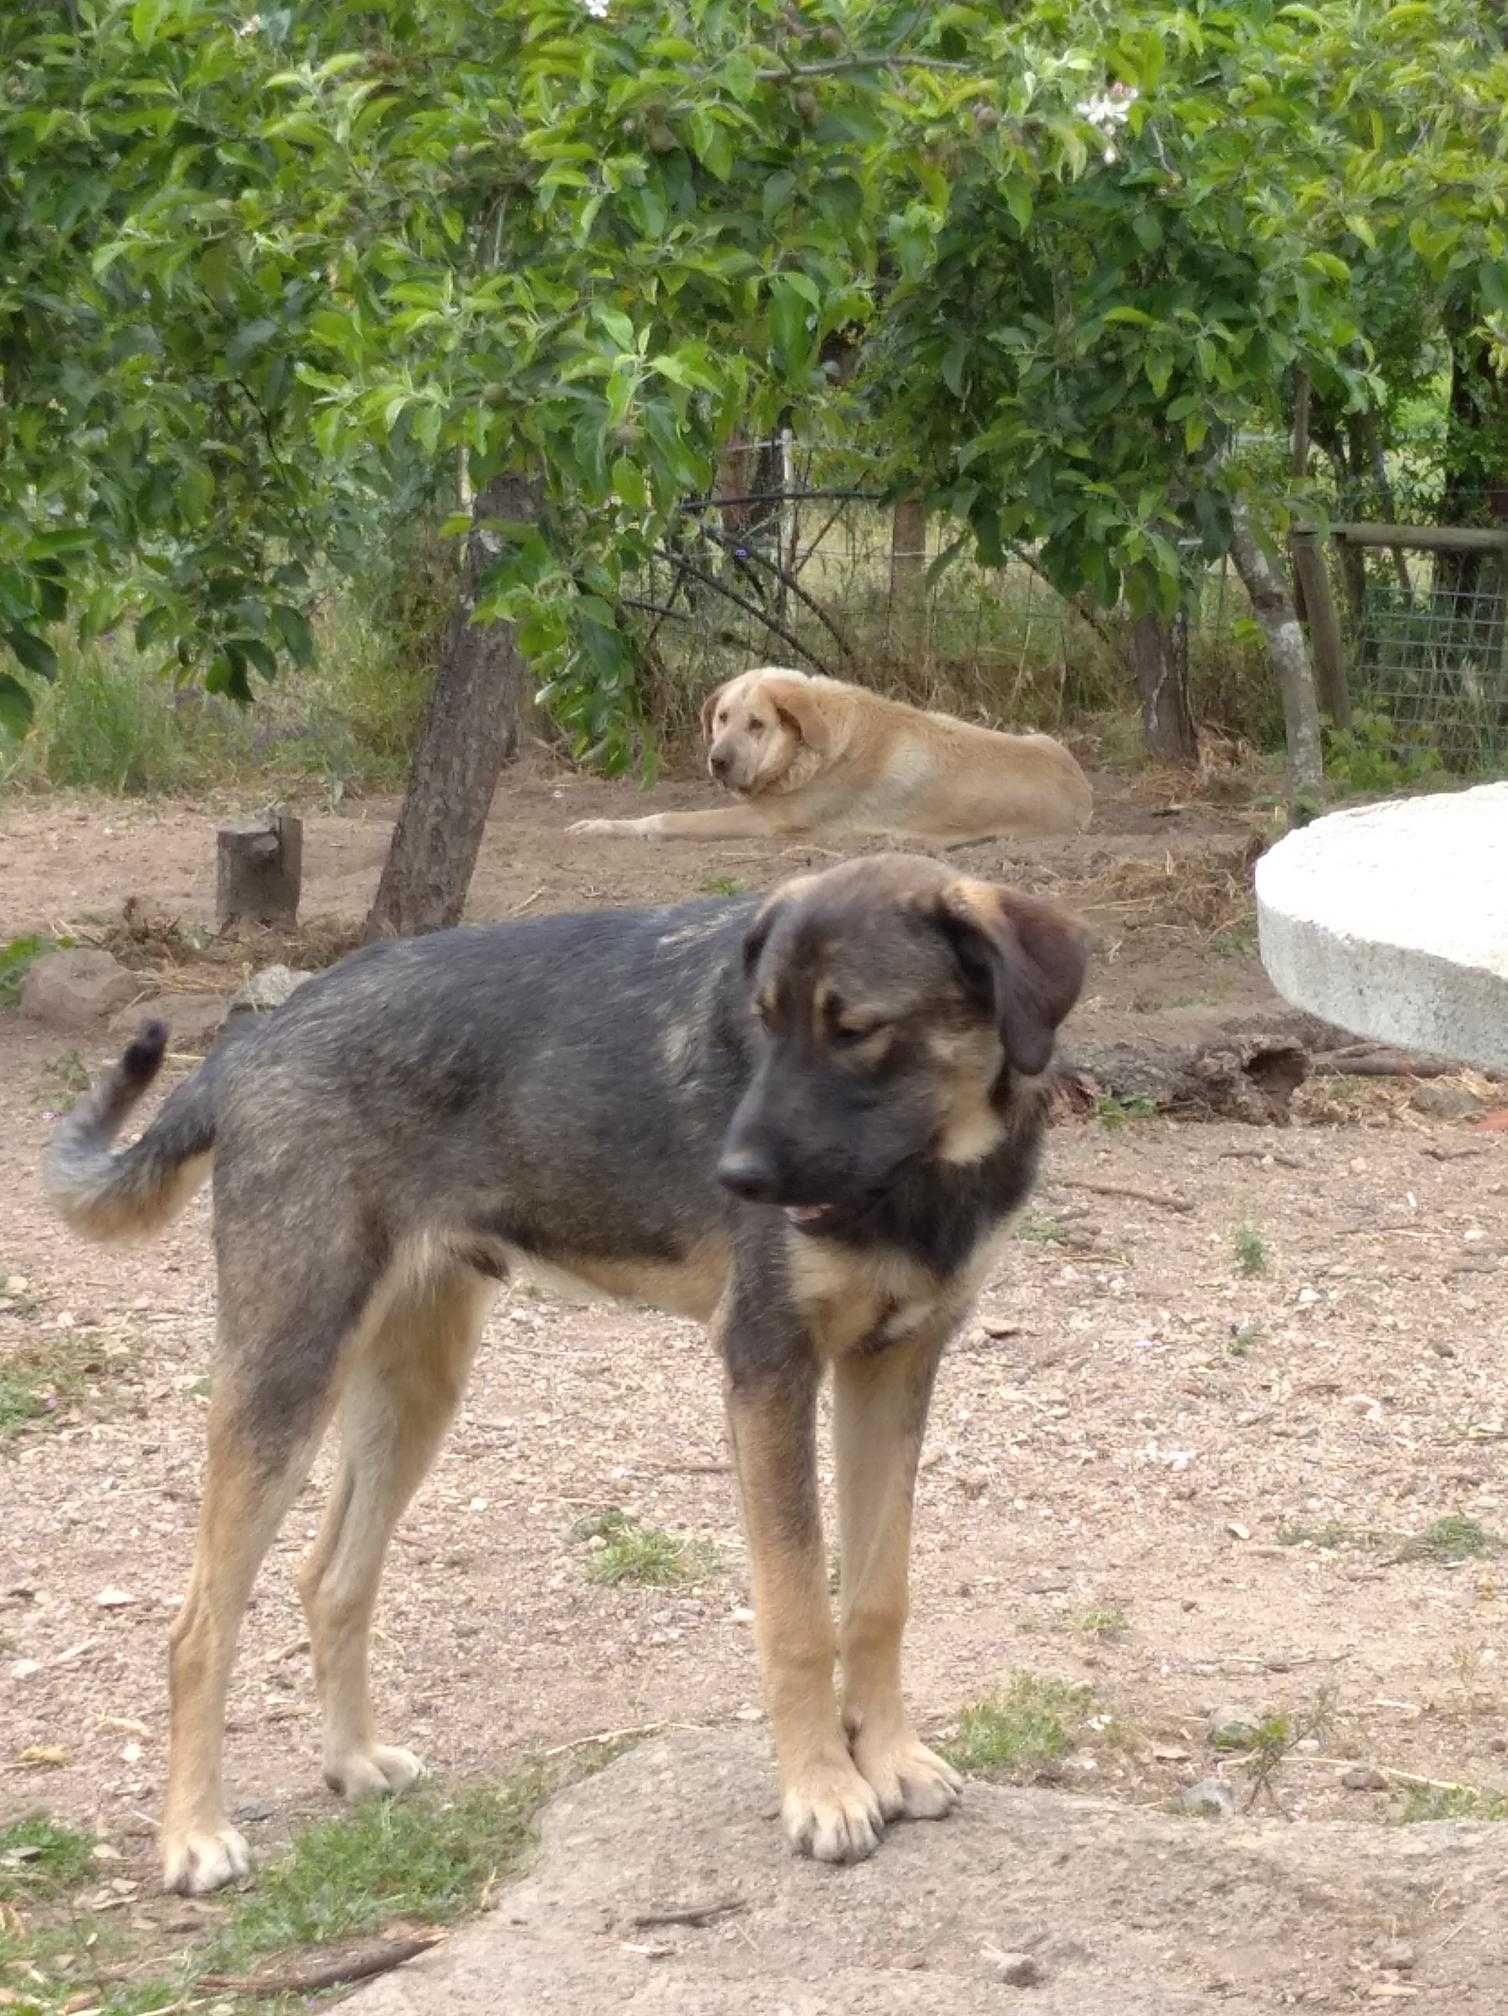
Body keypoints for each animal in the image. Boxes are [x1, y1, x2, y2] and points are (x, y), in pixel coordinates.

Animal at [44, 850, 1080, 1886]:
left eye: (855, 1030)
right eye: (764, 1022)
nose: (734, 1177)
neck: (930, 1169)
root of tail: (255, 1039)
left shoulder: (893, 1369)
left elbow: (875, 1597)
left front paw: (891, 1760)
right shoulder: (770, 1368)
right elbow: (797, 1615)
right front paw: (824, 1791)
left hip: (413, 1392)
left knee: (330, 1577)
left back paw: (353, 1763)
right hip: (287, 1377)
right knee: (197, 1627)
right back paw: (193, 1835)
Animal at [572, 669, 1088, 842]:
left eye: (756, 725)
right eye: (721, 717)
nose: (717, 761)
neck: (807, 752)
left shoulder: (766, 820)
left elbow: (665, 818)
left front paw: (603, 827)